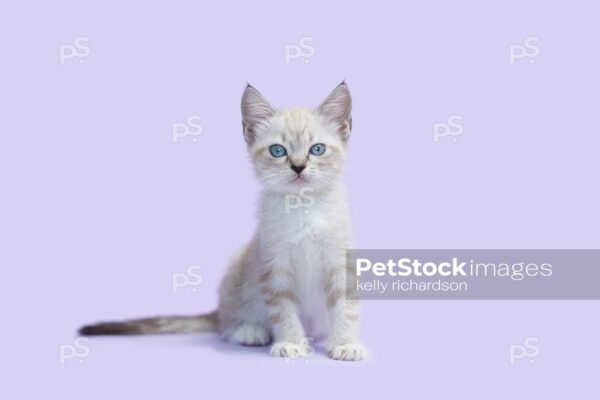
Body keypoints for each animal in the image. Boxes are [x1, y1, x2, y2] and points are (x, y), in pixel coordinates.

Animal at [81, 83, 368, 360]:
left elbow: (345, 307)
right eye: (278, 151)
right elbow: (283, 310)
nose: (298, 167)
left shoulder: (339, 262)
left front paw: (346, 344)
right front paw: (291, 343)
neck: (302, 207)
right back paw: (250, 331)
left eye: (317, 149)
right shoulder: (274, 267)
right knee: (226, 325)